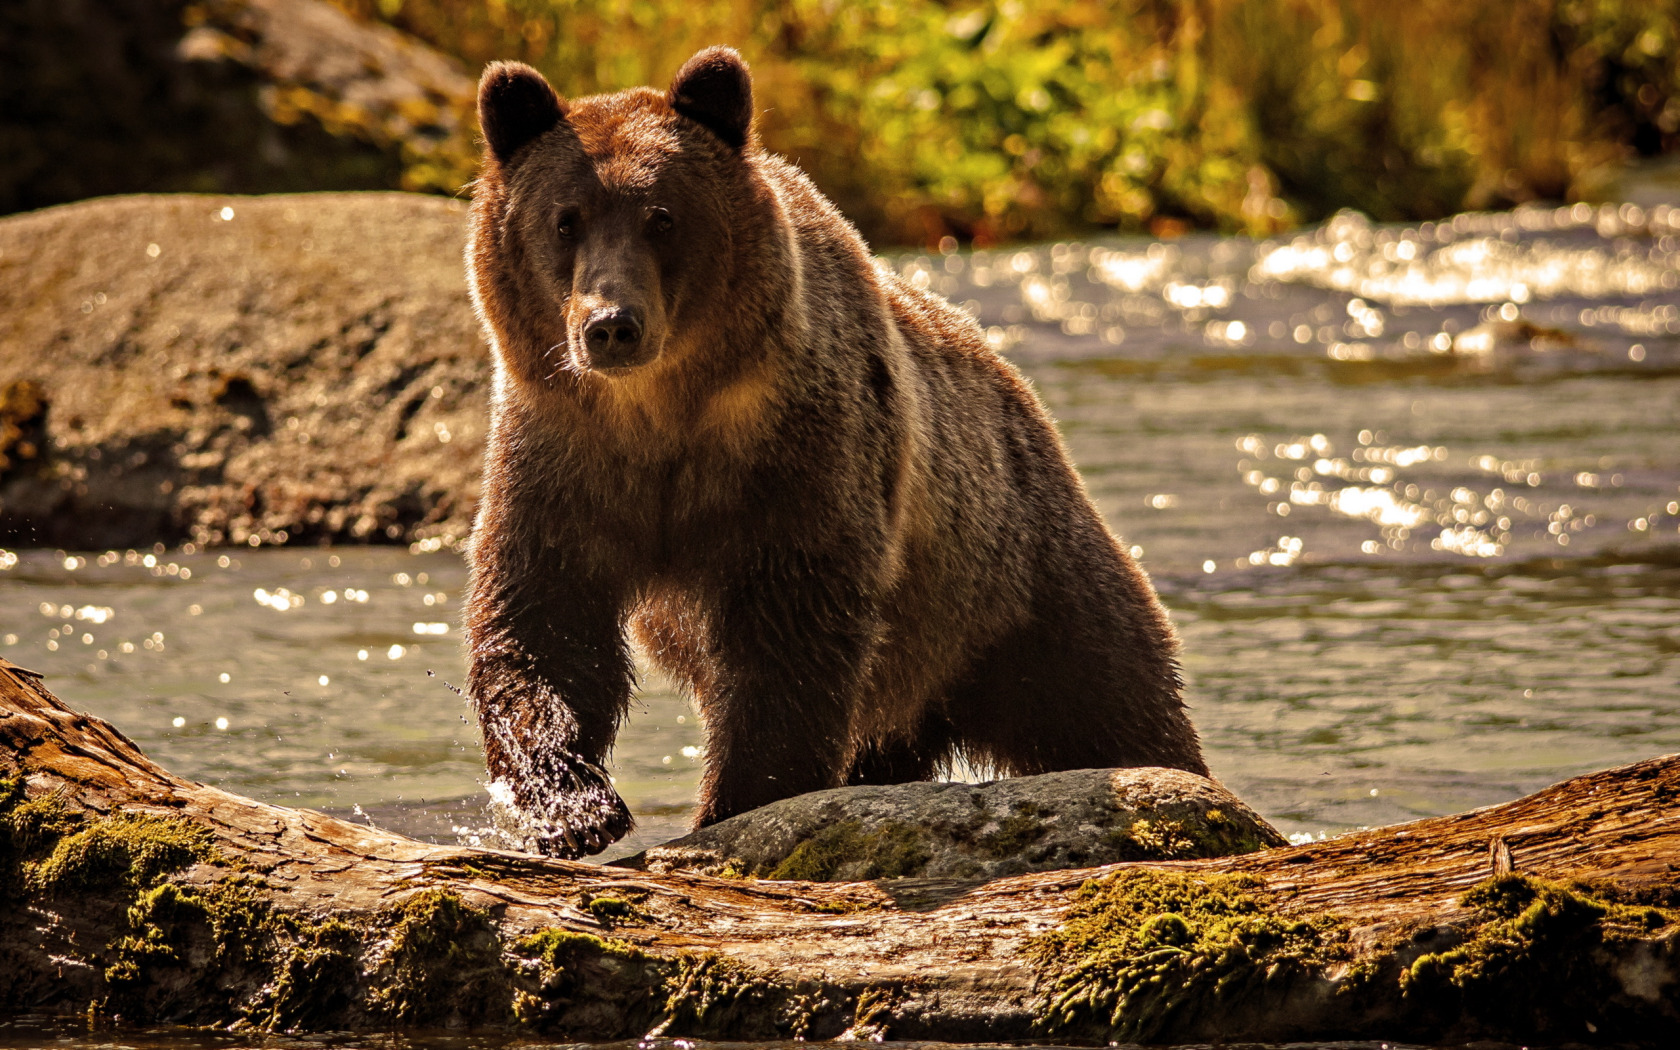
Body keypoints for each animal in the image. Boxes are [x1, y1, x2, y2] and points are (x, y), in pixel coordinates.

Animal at [460, 44, 1209, 856]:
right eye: (564, 220)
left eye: (661, 216)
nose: (611, 325)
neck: (661, 413)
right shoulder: (563, 454)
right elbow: (544, 619)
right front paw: (571, 806)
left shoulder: (799, 455)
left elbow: (790, 635)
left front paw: (735, 802)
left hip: (1014, 579)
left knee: (1108, 697)